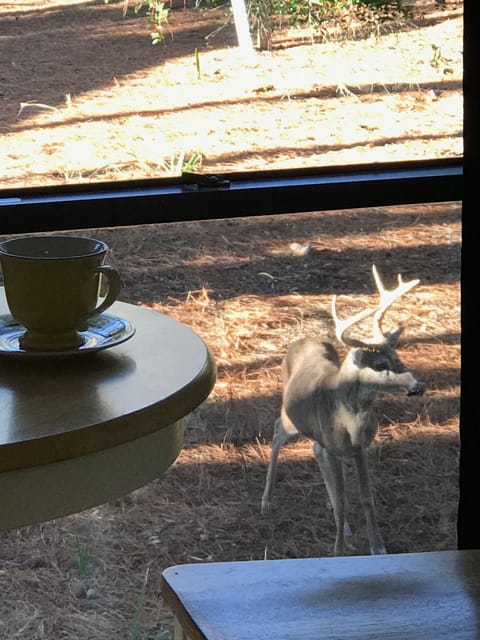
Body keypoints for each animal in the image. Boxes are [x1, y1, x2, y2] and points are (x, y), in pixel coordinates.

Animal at [261, 265, 425, 556]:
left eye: (398, 357)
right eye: (381, 365)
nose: (418, 386)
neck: (351, 420)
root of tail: (301, 340)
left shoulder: (360, 449)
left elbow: (365, 496)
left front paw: (377, 546)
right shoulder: (337, 448)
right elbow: (343, 500)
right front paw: (338, 549)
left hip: (319, 437)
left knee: (316, 450)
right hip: (291, 420)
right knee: (277, 432)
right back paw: (266, 500)